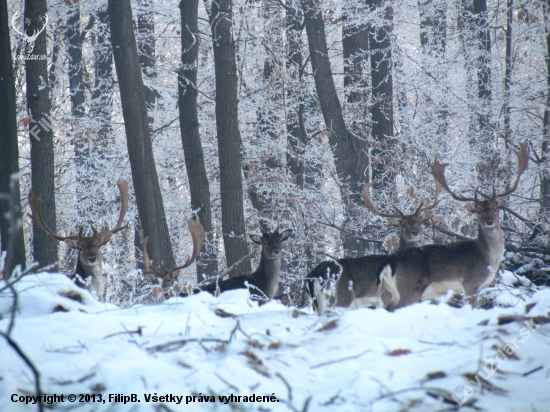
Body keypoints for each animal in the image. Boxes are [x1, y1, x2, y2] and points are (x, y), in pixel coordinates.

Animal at [304, 180, 442, 312]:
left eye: (420, 221)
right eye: (402, 224)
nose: (415, 232)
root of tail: (313, 276)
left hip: (317, 304)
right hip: (339, 299)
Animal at [382, 143, 532, 310]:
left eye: (495, 208)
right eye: (478, 210)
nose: (489, 221)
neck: (488, 259)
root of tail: (389, 262)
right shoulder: (471, 283)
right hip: (408, 288)